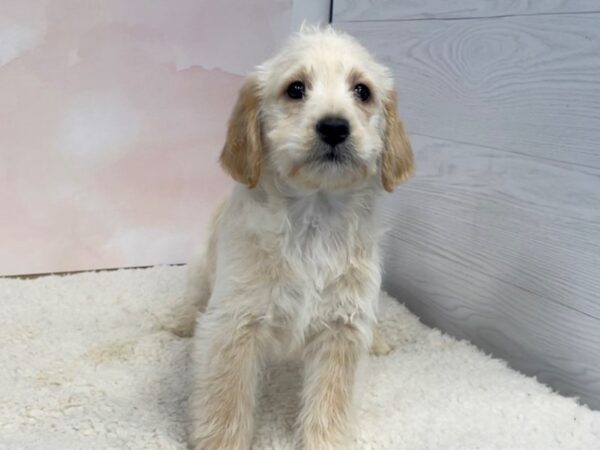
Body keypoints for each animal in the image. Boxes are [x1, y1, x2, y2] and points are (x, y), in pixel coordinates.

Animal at [168, 26, 412, 448]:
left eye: (362, 91)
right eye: (296, 89)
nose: (334, 127)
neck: (313, 220)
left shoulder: (343, 329)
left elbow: (331, 405)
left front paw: (327, 442)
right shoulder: (233, 324)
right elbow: (225, 402)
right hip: (201, 270)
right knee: (194, 297)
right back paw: (183, 320)